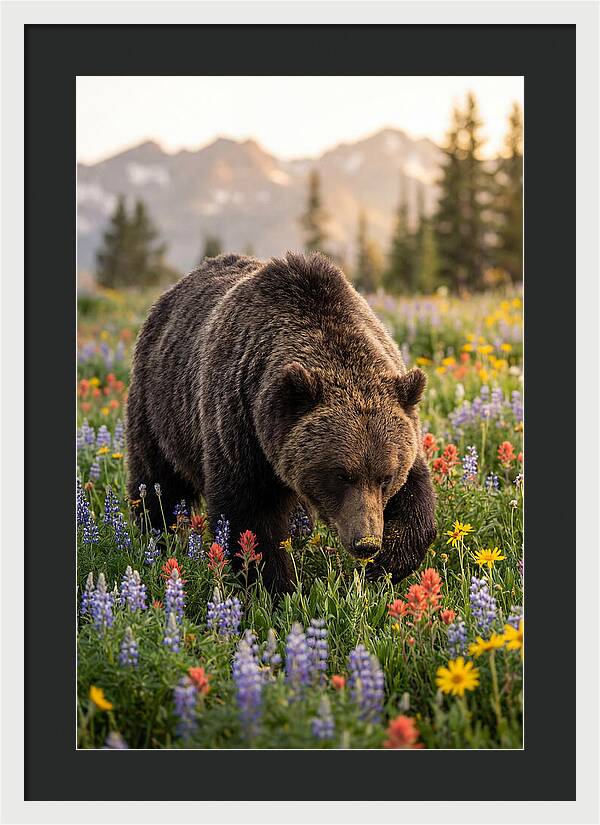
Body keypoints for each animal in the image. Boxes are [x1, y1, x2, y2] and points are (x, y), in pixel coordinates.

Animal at [126, 252, 436, 593]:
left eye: (386, 476)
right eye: (341, 475)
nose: (365, 542)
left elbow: (416, 497)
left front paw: (386, 565)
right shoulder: (240, 426)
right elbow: (249, 517)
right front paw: (274, 587)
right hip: (159, 409)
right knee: (158, 482)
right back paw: (156, 538)